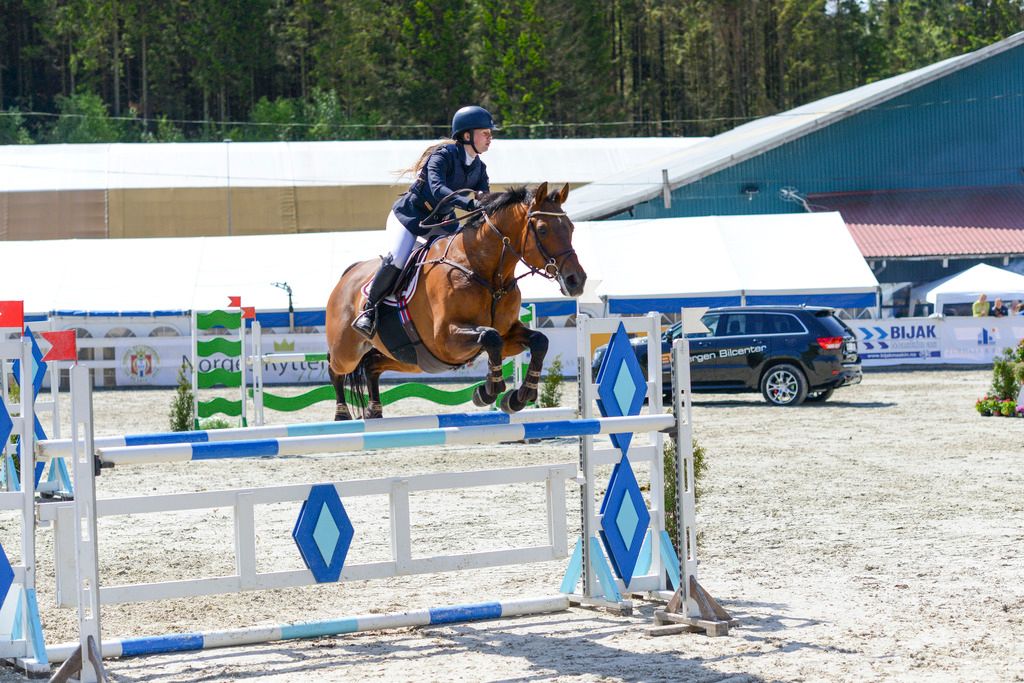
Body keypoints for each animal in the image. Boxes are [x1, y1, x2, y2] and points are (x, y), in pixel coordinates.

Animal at [325, 182, 587, 420]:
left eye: (571, 228)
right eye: (542, 230)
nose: (577, 280)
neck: (486, 274)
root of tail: (348, 274)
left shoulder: (508, 334)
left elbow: (538, 341)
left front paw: (519, 397)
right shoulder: (446, 339)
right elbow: (489, 337)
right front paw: (488, 392)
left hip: (407, 359)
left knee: (372, 365)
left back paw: (374, 410)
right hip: (347, 352)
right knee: (334, 367)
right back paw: (342, 414)